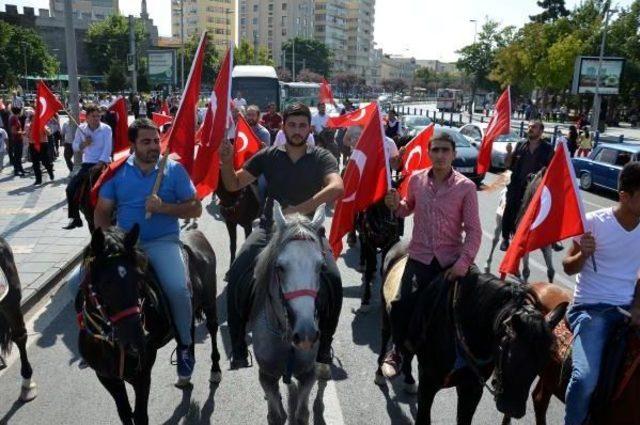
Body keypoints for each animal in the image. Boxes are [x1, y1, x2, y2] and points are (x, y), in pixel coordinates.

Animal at [78, 224, 220, 422]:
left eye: (138, 279)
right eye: (105, 283)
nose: (135, 342)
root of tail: (197, 233)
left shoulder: (142, 375)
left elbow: (140, 416)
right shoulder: (107, 378)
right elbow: (124, 413)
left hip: (209, 302)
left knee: (213, 329)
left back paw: (215, 370)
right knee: (187, 332)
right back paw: (185, 370)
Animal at [251, 202, 328, 424]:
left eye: (321, 267)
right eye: (280, 267)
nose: (306, 335)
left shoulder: (307, 374)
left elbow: (302, 414)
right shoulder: (266, 376)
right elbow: (276, 415)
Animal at [378, 240, 568, 422]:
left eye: (545, 359)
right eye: (510, 352)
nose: (512, 409)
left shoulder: (472, 389)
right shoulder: (428, 383)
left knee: (407, 351)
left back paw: (409, 379)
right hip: (387, 315)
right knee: (387, 338)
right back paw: (382, 371)